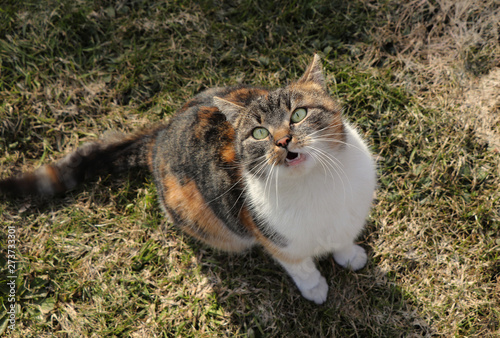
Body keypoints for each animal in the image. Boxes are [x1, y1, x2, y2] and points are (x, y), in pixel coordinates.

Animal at [0, 54, 376, 304]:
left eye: (299, 114)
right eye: (259, 133)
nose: (283, 141)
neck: (316, 185)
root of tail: (159, 136)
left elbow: (343, 239)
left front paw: (349, 255)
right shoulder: (271, 234)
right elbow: (299, 265)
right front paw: (315, 288)